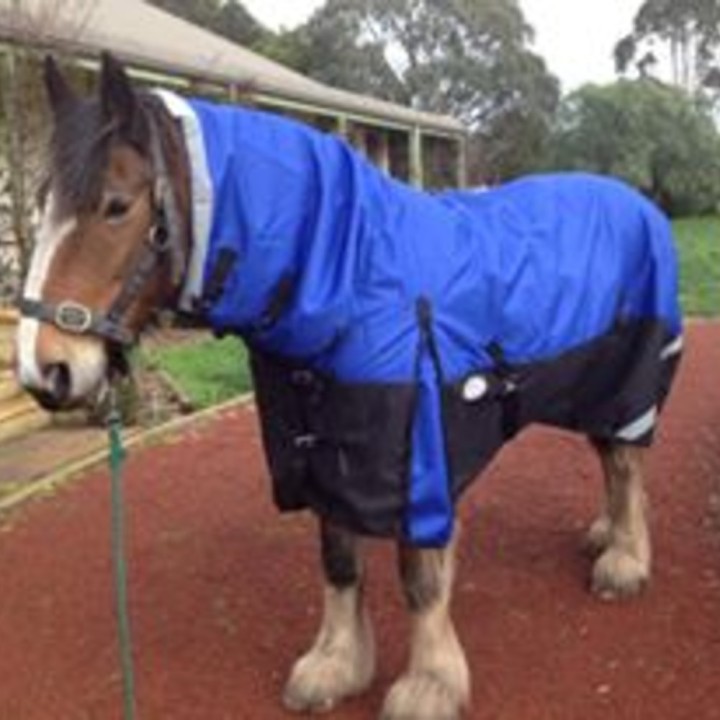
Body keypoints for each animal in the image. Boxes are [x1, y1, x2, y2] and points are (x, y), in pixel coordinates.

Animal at [16, 53, 682, 720]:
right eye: (41, 203)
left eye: (116, 205)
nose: (42, 370)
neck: (351, 277)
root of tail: (638, 203)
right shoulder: (319, 445)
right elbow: (338, 561)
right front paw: (336, 665)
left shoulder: (420, 456)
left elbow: (420, 576)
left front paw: (429, 685)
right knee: (610, 457)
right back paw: (607, 535)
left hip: (628, 383)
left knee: (625, 462)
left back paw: (624, 561)